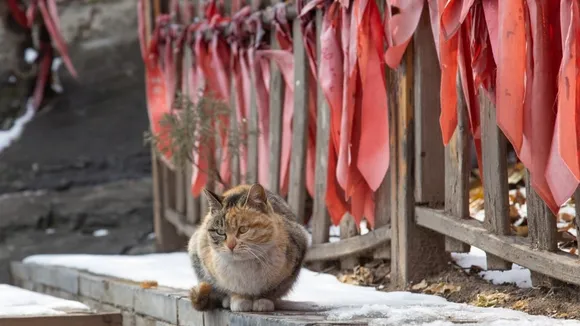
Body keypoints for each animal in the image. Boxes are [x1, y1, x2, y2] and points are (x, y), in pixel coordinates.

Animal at [188, 182, 310, 312]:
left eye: (243, 229)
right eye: (220, 232)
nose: (231, 245)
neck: (246, 264)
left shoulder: (294, 259)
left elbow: (273, 289)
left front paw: (263, 301)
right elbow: (231, 289)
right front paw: (239, 300)